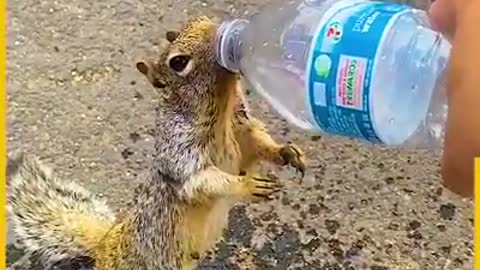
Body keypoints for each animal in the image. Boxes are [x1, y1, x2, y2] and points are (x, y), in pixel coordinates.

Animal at [7, 15, 306, 270]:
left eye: (198, 20)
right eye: (178, 62)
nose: (221, 30)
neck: (221, 112)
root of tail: (104, 245)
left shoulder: (241, 130)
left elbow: (257, 145)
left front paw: (286, 153)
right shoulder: (181, 153)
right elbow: (204, 181)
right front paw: (247, 185)